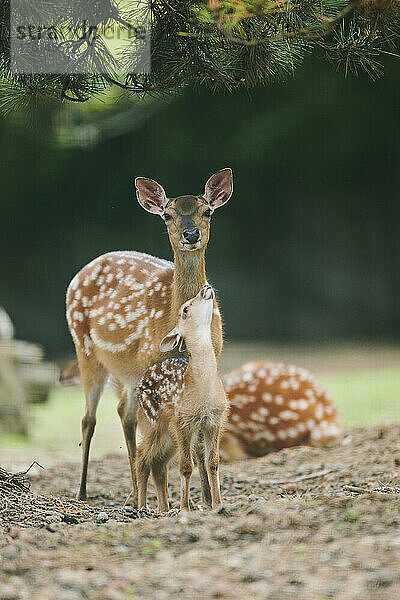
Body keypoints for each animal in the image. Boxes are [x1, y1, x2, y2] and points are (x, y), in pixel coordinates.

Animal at [136, 284, 228, 510]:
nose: (205, 286)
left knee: (158, 464)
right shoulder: (182, 420)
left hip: (168, 436)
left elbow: (213, 463)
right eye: (185, 308)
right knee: (141, 458)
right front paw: (185, 508)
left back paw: (164, 509)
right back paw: (142, 507)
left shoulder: (214, 419)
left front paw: (218, 504)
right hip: (152, 422)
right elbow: (186, 466)